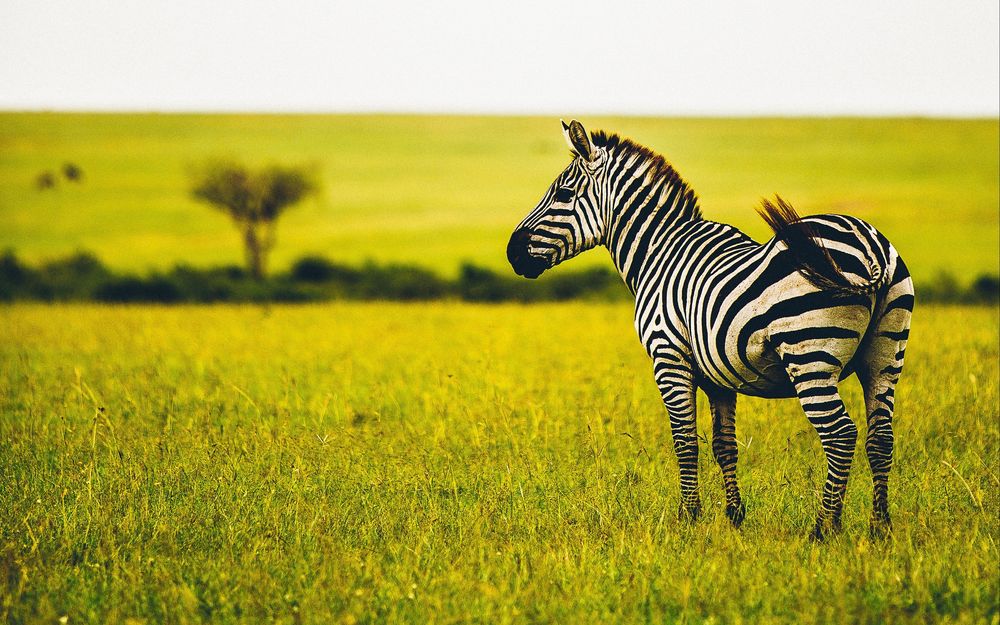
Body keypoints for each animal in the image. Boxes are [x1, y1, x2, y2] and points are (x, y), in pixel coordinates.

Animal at [508, 119, 916, 540]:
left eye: (564, 194)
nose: (511, 252)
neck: (657, 252)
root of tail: (870, 247)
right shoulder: (719, 373)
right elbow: (724, 445)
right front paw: (734, 515)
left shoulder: (669, 357)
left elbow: (685, 441)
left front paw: (689, 515)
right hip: (885, 355)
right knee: (880, 437)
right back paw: (880, 526)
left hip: (809, 354)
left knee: (840, 434)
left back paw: (824, 527)